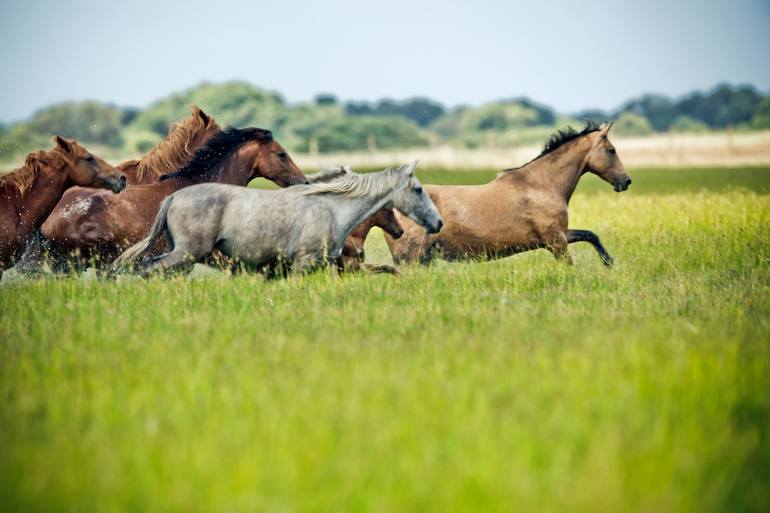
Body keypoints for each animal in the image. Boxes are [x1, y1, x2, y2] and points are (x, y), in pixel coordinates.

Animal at [111, 162, 440, 276]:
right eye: (419, 189)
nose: (438, 224)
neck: (332, 208)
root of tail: (174, 197)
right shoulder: (304, 263)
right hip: (187, 252)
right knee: (150, 269)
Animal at [384, 120, 632, 264]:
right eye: (612, 150)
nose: (626, 181)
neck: (541, 185)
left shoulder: (561, 235)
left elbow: (591, 235)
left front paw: (609, 263)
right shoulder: (556, 241)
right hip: (412, 257)